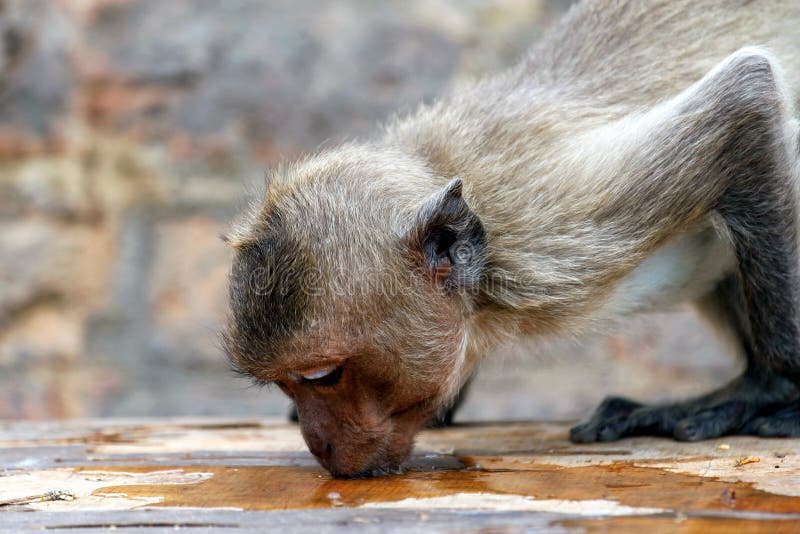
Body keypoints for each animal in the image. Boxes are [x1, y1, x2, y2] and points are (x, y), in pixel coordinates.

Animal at [222, 0, 800, 478]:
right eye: (287, 381)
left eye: (323, 375)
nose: (318, 444)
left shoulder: (555, 235)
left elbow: (745, 102)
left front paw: (769, 389)